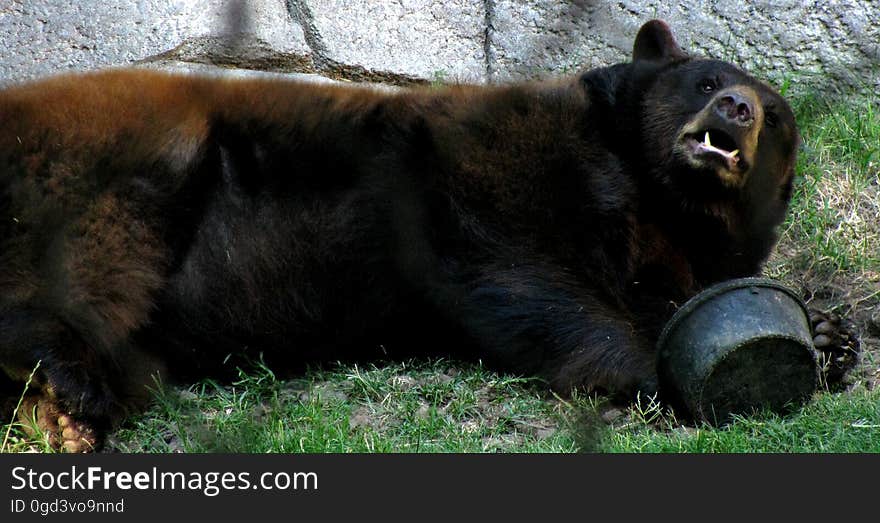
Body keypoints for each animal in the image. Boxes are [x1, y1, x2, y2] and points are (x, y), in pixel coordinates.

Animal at [0, 22, 840, 452]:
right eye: (707, 77)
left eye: (777, 115)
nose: (738, 108)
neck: (655, 195)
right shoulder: (506, 149)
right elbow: (504, 249)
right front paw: (652, 370)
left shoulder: (673, 248)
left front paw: (830, 340)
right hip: (122, 151)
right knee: (91, 251)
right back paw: (66, 382)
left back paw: (62, 415)